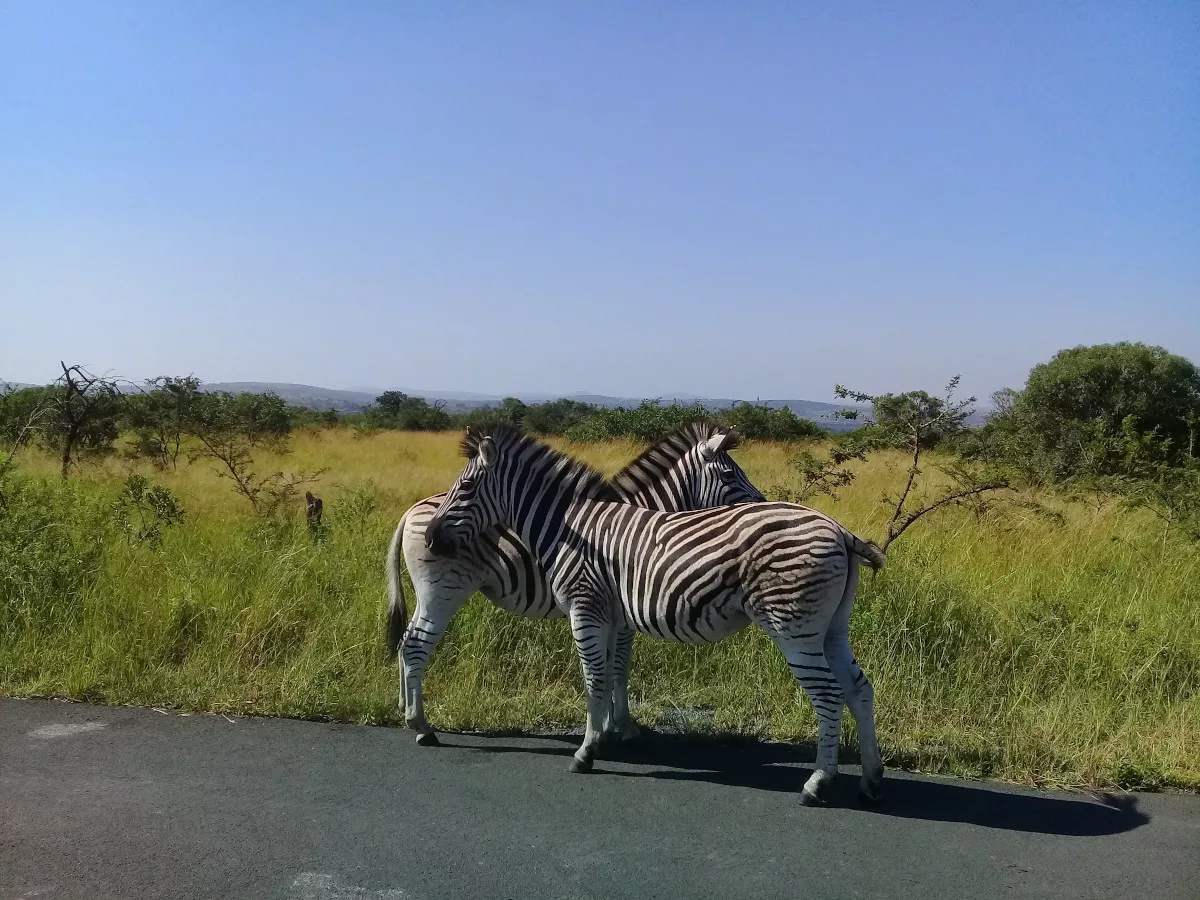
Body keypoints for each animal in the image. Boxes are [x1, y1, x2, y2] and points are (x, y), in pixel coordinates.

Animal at [385, 422, 766, 746]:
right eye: (730, 474)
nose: (764, 507)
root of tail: (414, 510)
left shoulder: (610, 612)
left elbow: (609, 665)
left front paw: (610, 725)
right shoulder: (622, 614)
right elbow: (618, 666)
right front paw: (621, 727)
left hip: (428, 592)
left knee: (405, 641)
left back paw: (404, 708)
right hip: (443, 591)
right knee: (416, 644)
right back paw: (421, 726)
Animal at [425, 425, 886, 807]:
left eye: (466, 487)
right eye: (730, 475)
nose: (430, 538)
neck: (567, 529)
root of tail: (837, 529)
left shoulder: (586, 607)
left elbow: (595, 679)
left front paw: (586, 752)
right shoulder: (613, 616)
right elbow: (611, 674)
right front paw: (609, 736)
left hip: (795, 628)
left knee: (830, 694)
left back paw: (817, 784)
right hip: (831, 629)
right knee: (859, 688)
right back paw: (870, 780)